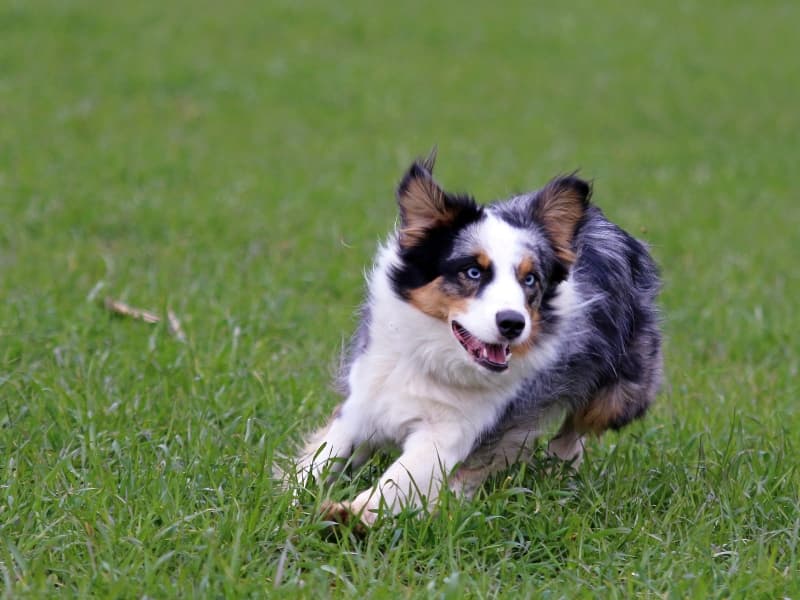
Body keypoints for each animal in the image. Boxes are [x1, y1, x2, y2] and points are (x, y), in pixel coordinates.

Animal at [294, 152, 664, 528]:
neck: (434, 357)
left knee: (577, 427)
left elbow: (398, 478)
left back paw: (554, 468)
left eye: (530, 279)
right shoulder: (363, 403)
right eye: (473, 271)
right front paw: (293, 500)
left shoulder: (451, 432)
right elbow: (320, 459)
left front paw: (348, 515)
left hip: (618, 394)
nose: (513, 323)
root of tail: (607, 224)